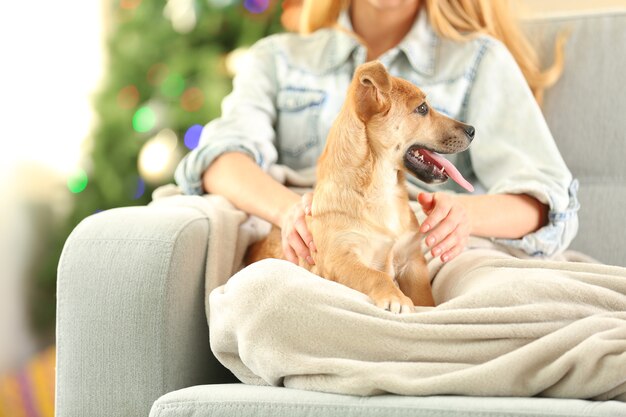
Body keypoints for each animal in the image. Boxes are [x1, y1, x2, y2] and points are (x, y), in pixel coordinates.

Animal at [246, 61, 470, 312]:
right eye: (422, 109)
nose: (472, 130)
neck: (381, 190)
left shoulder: (412, 261)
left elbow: (425, 299)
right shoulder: (340, 260)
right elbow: (375, 275)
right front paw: (396, 298)